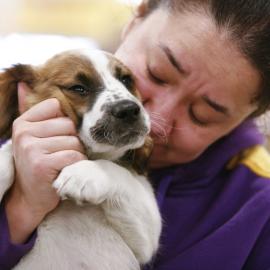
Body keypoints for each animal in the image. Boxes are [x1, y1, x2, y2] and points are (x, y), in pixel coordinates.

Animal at [0, 50, 161, 270]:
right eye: (78, 88)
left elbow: (114, 170)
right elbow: (10, 149)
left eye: (126, 80)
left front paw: (82, 173)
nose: (128, 109)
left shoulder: (147, 236)